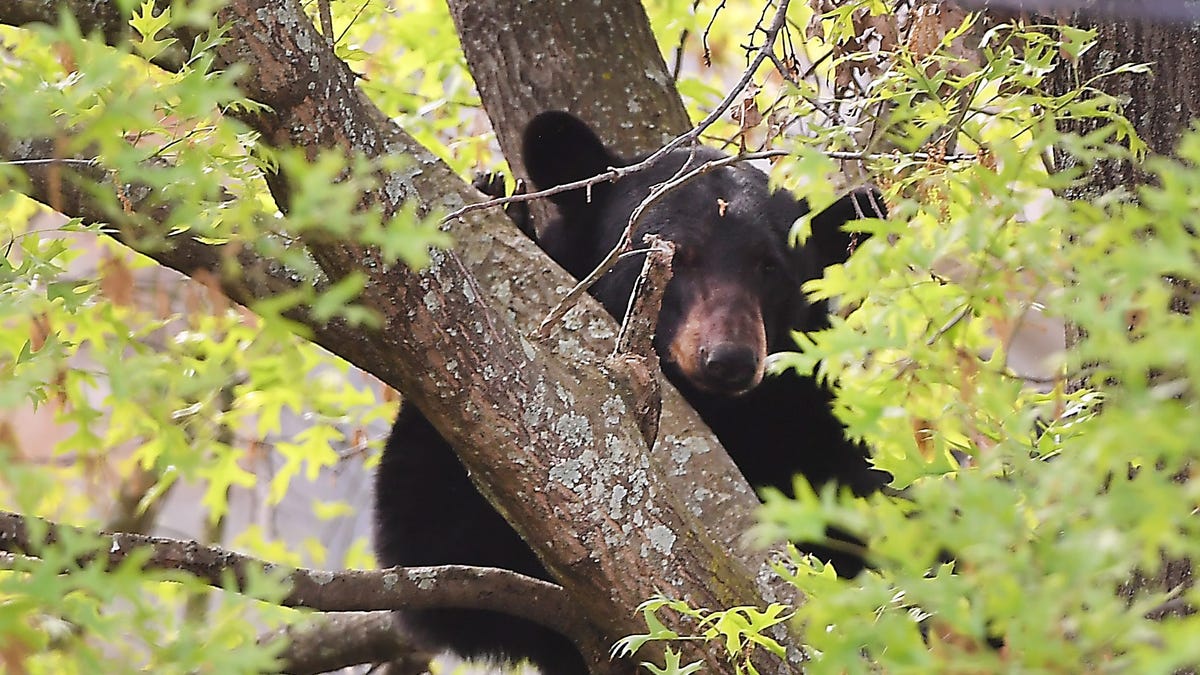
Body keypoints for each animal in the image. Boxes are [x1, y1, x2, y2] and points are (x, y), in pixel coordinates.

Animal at [373, 111, 890, 674]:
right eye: (673, 254)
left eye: (769, 265)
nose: (730, 359)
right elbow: (434, 542)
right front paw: (503, 201)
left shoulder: (811, 427)